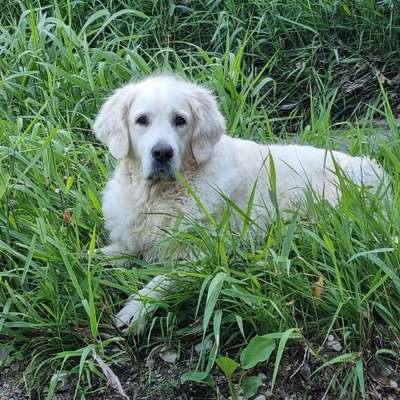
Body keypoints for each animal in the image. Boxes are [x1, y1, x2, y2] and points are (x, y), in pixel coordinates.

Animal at [93, 73, 384, 326]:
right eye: (142, 120)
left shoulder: (200, 255)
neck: (157, 196)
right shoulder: (133, 240)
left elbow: (162, 280)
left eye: (180, 120)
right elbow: (98, 255)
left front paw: (135, 310)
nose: (162, 152)